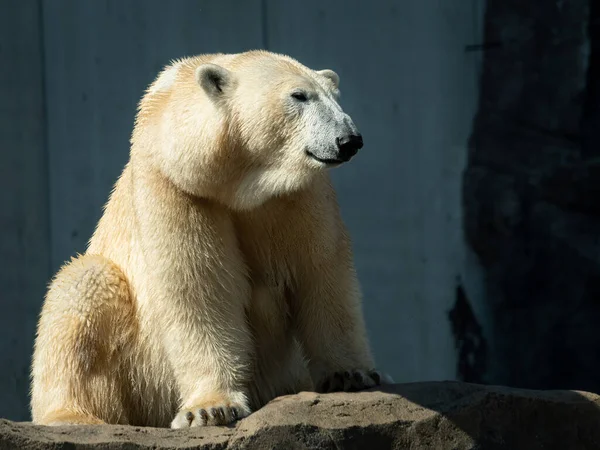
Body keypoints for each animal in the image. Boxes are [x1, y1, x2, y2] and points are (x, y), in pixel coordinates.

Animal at [30, 51, 392, 428]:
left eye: (334, 95)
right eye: (299, 96)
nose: (349, 140)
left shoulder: (298, 195)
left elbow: (321, 270)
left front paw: (351, 374)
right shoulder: (178, 186)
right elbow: (199, 287)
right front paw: (210, 408)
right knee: (81, 289)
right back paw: (71, 415)